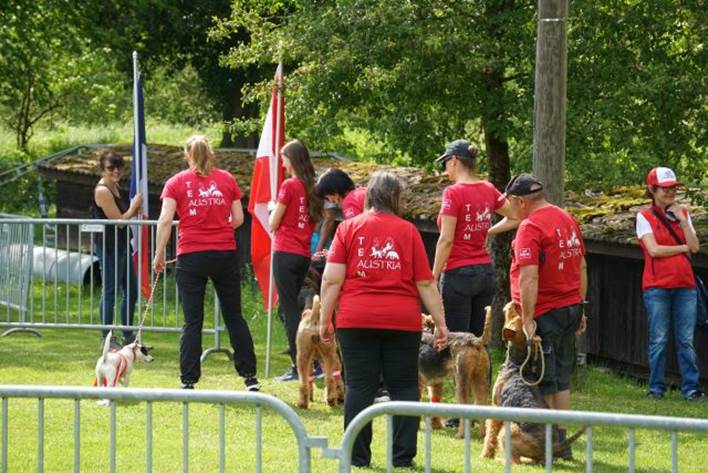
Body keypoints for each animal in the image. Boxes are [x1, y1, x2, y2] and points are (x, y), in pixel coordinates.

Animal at [414, 308, 492, 436]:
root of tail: (474, 340)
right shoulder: (435, 384)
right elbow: (434, 401)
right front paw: (436, 426)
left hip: (461, 381)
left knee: (465, 407)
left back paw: (460, 434)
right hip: (480, 379)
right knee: (482, 404)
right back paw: (483, 434)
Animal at [482, 302, 588, 460]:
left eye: (513, 315)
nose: (513, 303)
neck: (518, 364)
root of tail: (552, 446)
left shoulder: (496, 406)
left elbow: (491, 434)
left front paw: (486, 454)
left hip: (510, 429)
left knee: (515, 459)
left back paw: (500, 460)